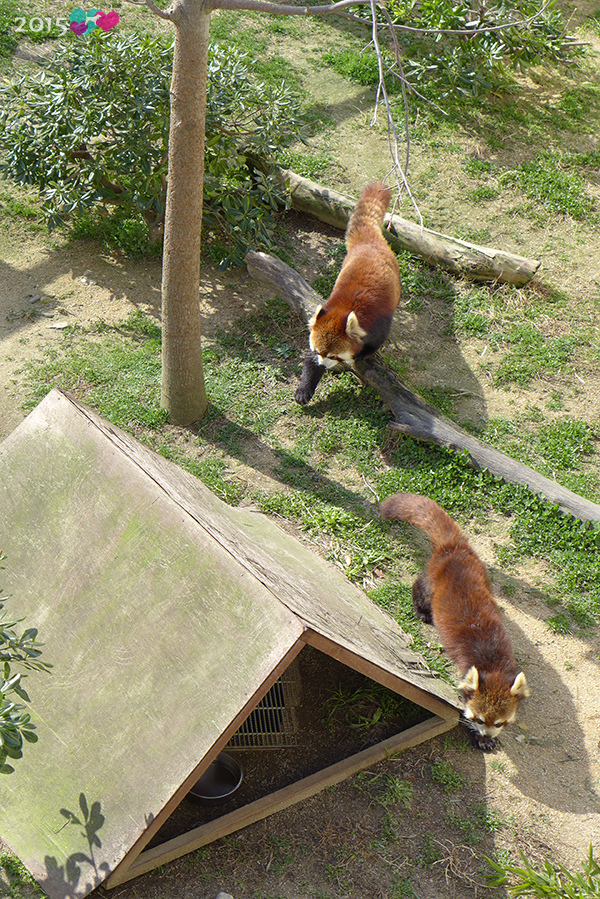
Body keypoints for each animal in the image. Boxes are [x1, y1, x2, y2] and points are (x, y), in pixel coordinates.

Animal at [294, 181, 400, 406]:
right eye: (318, 351)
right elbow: (308, 360)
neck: (345, 310)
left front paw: (360, 356)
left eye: (335, 356)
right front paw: (304, 389)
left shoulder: (379, 322)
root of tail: (367, 241)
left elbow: (374, 344)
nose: (323, 365)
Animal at [380, 492, 528, 752]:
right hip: (432, 582)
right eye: (479, 719)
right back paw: (422, 611)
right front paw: (479, 738)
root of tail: (453, 548)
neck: (493, 665)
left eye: (500, 723)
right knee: (420, 587)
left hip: (482, 574)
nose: (487, 734)